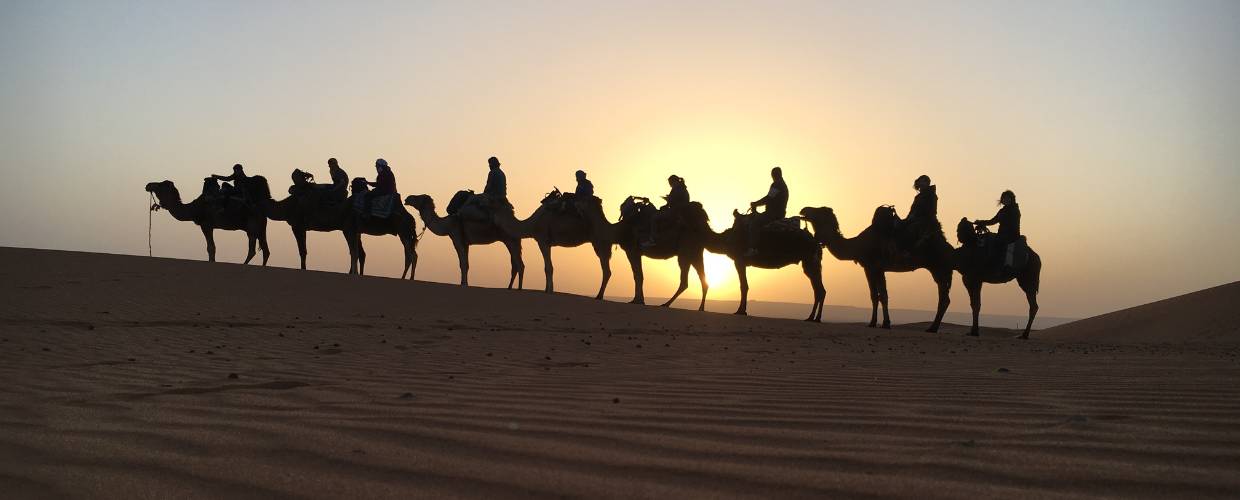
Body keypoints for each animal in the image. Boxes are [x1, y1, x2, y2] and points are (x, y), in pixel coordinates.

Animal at [798, 207, 952, 332]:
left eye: (819, 211)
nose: (804, 209)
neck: (858, 245)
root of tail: (948, 247)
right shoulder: (872, 268)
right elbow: (875, 295)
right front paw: (873, 323)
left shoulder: (875, 266)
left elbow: (882, 295)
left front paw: (885, 323)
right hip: (939, 269)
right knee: (944, 297)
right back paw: (933, 327)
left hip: (939, 267)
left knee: (944, 298)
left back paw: (933, 327)